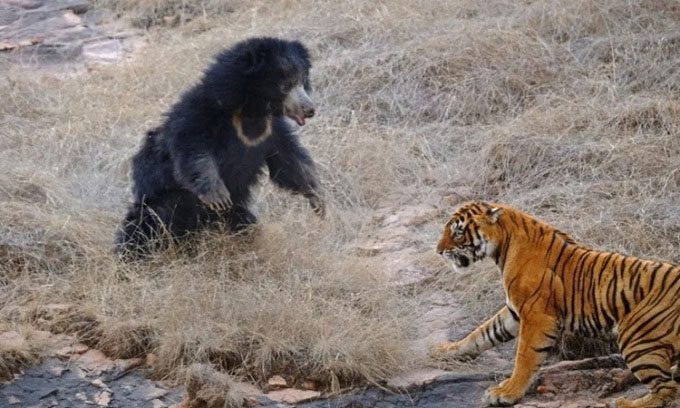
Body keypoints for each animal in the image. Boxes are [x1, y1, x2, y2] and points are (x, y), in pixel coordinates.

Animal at [116, 37, 324, 255]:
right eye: (286, 85)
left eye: (302, 80)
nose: (310, 109)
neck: (250, 111)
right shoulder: (199, 115)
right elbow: (193, 152)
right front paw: (218, 196)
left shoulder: (272, 132)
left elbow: (289, 163)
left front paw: (319, 200)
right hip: (163, 203)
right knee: (144, 229)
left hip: (233, 213)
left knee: (245, 225)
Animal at [430, 201, 680, 408]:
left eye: (458, 232)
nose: (438, 251)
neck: (503, 247)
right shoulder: (514, 312)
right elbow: (482, 334)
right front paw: (446, 350)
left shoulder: (536, 316)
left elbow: (524, 357)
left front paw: (506, 393)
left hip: (636, 338)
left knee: (667, 389)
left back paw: (625, 403)